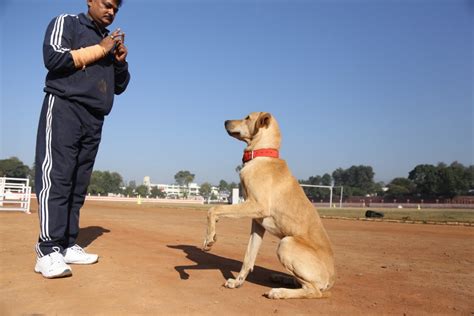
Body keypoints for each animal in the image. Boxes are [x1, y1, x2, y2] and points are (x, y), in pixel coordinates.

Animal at [202, 111, 336, 298]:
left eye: (247, 117)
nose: (225, 121)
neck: (261, 155)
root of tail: (331, 280)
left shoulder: (257, 206)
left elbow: (214, 209)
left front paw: (209, 238)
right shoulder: (257, 223)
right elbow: (248, 257)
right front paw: (237, 282)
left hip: (286, 243)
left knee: (313, 291)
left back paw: (279, 292)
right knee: (301, 283)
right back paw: (282, 278)